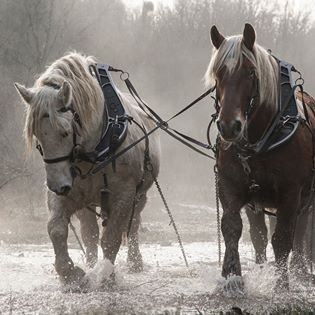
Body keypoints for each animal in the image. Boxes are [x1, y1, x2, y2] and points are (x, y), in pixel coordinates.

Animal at [14, 51, 160, 288]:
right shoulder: (67, 192)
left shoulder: (125, 194)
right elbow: (57, 228)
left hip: (140, 195)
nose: (57, 186)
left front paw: (106, 275)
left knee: (134, 224)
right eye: (36, 136)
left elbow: (111, 236)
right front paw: (70, 273)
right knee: (89, 232)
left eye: (65, 131)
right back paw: (91, 263)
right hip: (87, 201)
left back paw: (134, 261)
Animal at [205, 24, 315, 292]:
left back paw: (300, 271)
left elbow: (283, 238)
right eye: (219, 72)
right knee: (259, 236)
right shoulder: (230, 185)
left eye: (251, 73)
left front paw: (281, 285)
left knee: (300, 230)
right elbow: (232, 228)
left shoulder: (290, 193)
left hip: (305, 197)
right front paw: (232, 278)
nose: (229, 126)